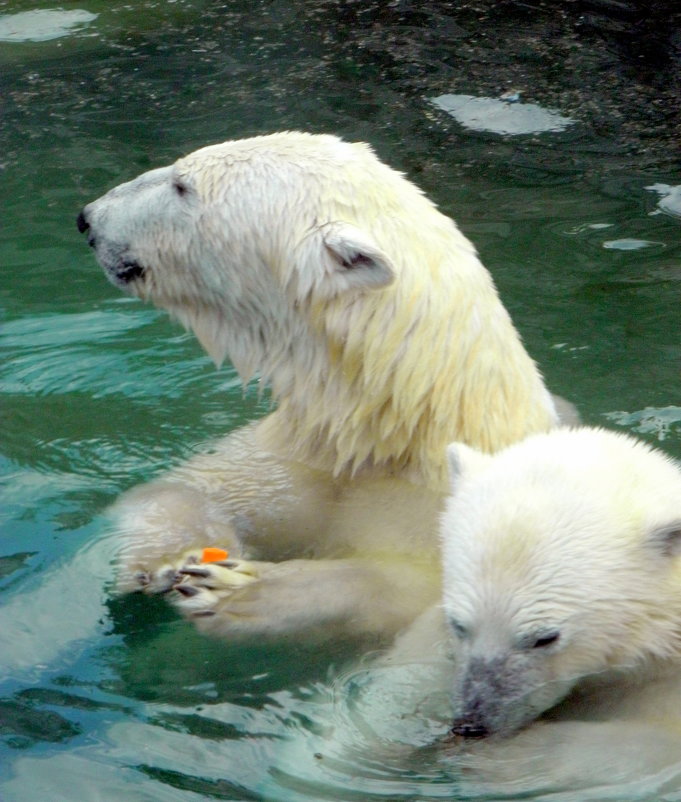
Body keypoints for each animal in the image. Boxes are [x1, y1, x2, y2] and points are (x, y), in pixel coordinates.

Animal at [75, 134, 564, 640]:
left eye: (182, 185)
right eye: (180, 172)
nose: (88, 218)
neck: (401, 424)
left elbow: (407, 592)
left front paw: (239, 591)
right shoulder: (300, 456)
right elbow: (183, 488)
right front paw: (170, 559)